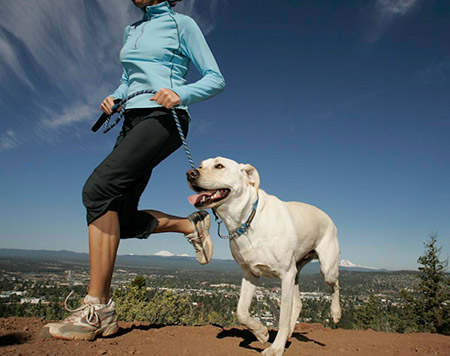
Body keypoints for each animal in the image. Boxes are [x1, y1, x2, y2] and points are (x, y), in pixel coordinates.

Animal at [187, 158, 342, 356]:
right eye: (200, 165)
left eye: (219, 166)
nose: (190, 173)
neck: (247, 220)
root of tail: (327, 216)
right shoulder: (250, 273)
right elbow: (241, 311)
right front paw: (261, 333)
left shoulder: (285, 275)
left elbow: (282, 317)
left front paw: (276, 348)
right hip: (296, 273)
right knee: (298, 303)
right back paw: (289, 333)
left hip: (326, 268)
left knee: (335, 285)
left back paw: (335, 313)